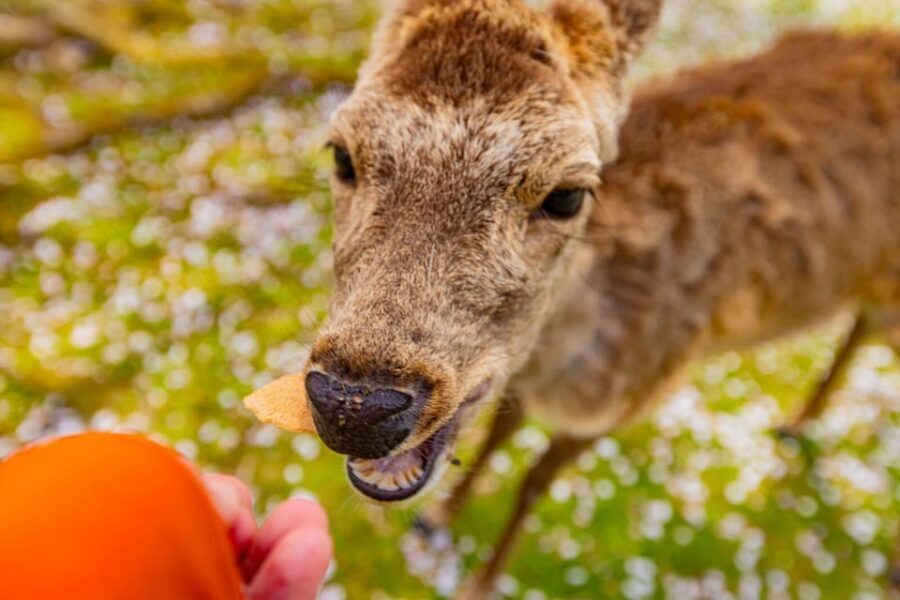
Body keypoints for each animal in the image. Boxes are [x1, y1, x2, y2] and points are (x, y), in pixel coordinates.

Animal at [294, 0, 900, 595]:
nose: (355, 405)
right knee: (860, 326)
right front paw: (438, 520)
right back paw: (793, 425)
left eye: (567, 195)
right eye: (340, 154)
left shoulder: (628, 395)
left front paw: (481, 581)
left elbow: (535, 482)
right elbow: (498, 432)